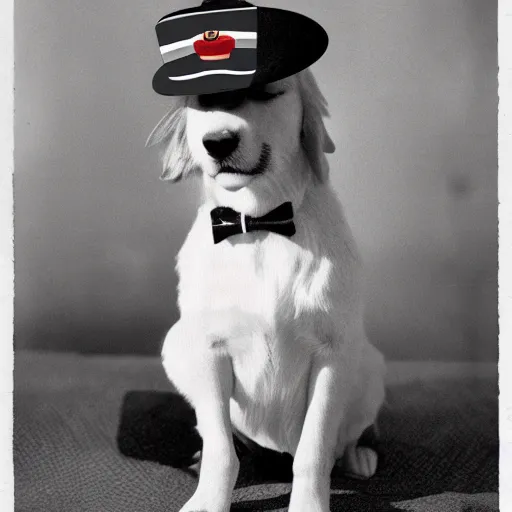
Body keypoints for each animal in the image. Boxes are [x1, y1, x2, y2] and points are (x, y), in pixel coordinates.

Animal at [146, 69, 386, 512]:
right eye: (204, 99)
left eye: (266, 91)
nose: (218, 142)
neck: (259, 223)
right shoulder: (207, 350)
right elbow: (222, 448)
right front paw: (209, 497)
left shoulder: (331, 355)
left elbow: (314, 450)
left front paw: (309, 505)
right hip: (176, 345)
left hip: (369, 365)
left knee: (344, 439)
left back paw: (357, 457)